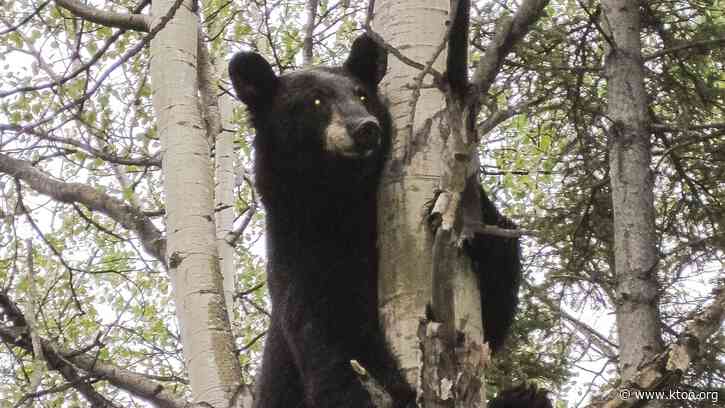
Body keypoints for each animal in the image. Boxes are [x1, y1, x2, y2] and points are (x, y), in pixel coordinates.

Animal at [228, 33, 522, 407]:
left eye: (362, 95)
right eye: (316, 100)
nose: (365, 128)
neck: (345, 197)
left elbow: (494, 304)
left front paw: (455, 218)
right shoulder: (301, 249)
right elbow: (335, 339)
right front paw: (398, 391)